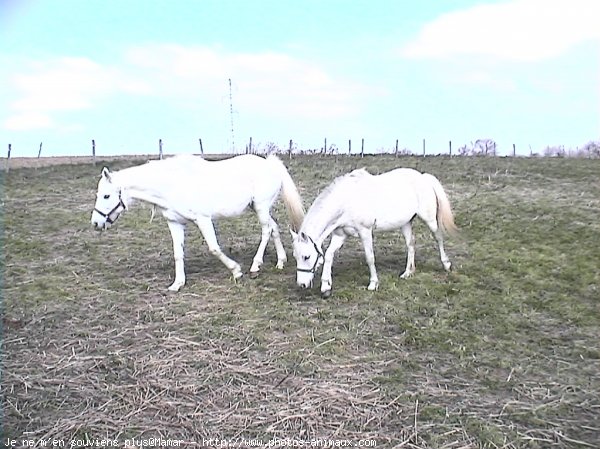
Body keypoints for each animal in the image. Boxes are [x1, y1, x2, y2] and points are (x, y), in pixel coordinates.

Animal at [91, 153, 304, 290]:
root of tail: (270, 164)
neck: (171, 185)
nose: (95, 223)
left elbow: (214, 248)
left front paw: (236, 271)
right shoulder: (175, 223)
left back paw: (255, 267)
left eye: (106, 195)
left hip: (260, 207)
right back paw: (280, 262)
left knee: (266, 230)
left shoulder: (203, 219)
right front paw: (177, 284)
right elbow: (178, 253)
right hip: (258, 208)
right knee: (274, 228)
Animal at [292, 166, 458, 296]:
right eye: (296, 257)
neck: (346, 201)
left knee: (438, 237)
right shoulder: (340, 234)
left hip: (429, 219)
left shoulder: (365, 231)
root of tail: (423, 177)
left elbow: (370, 257)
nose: (301, 284)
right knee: (411, 244)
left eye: (306, 257)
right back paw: (408, 272)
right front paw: (326, 286)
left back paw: (446, 265)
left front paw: (373, 283)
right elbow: (328, 255)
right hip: (405, 223)